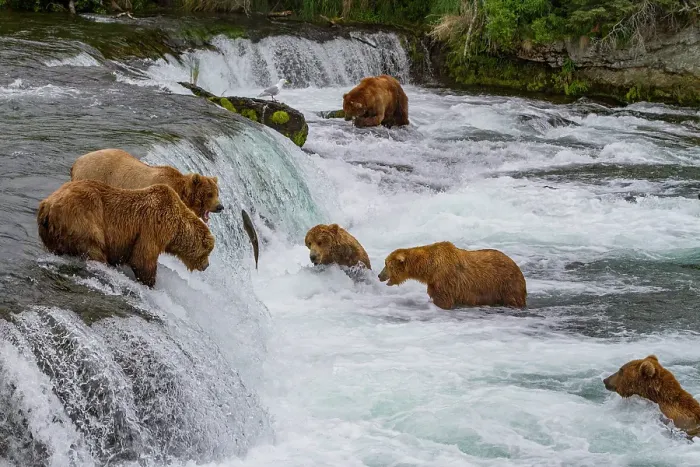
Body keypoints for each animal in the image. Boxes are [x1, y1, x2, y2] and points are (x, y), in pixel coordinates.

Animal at [37, 180, 215, 288]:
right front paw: (150, 283)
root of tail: (47, 204)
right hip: (83, 219)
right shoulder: (153, 227)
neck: (175, 228)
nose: (206, 266)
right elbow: (143, 259)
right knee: (94, 247)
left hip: (50, 233)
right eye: (207, 251)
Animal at [70, 149, 223, 223]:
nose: (220, 207)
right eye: (209, 194)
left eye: (217, 193)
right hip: (94, 174)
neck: (182, 192)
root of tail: (77, 161)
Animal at [377, 241, 527, 310]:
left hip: (505, 283)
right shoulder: (434, 282)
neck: (429, 268)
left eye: (386, 264)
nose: (379, 275)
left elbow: (443, 300)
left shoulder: (445, 280)